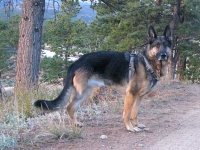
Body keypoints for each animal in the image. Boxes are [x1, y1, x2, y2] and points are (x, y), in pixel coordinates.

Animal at [34, 25, 170, 132]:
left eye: (165, 45)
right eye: (157, 45)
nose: (164, 55)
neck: (147, 63)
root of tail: (75, 62)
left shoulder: (139, 96)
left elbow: (134, 113)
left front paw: (136, 125)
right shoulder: (130, 94)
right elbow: (127, 114)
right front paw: (130, 127)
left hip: (85, 92)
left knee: (70, 107)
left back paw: (76, 124)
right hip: (81, 91)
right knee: (69, 107)